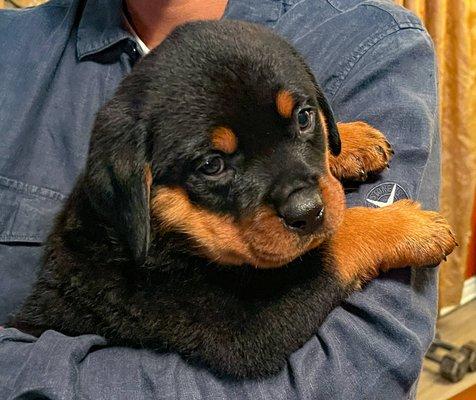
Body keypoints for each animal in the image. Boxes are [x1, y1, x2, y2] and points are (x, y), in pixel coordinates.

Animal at [7, 21, 456, 378]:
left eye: (304, 117)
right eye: (212, 165)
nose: (308, 212)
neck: (167, 234)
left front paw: (352, 142)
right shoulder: (245, 329)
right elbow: (334, 246)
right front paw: (409, 227)